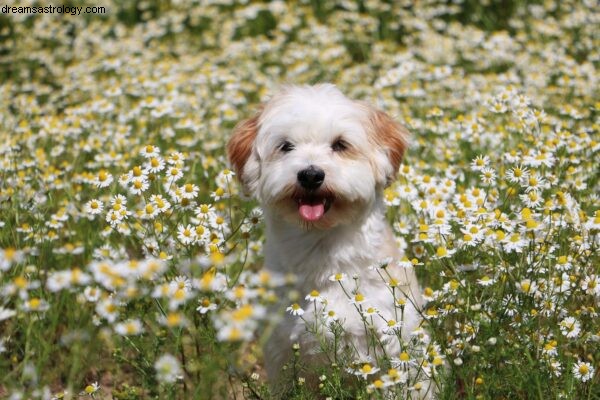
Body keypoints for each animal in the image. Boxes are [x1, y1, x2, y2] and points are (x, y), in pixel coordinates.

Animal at [227, 84, 428, 396]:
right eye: (285, 146)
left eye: (340, 145)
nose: (310, 175)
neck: (323, 251)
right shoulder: (282, 354)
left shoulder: (395, 344)